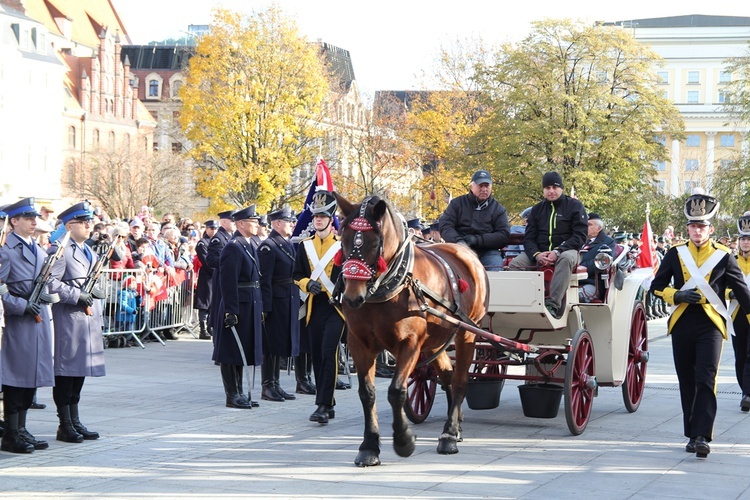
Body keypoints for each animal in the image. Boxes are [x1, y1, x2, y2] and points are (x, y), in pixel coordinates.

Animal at [334, 193, 488, 466]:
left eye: (374, 243)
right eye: (344, 239)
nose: (352, 297)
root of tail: (465, 251)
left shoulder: (410, 343)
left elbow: (397, 390)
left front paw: (403, 440)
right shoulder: (358, 343)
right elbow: (367, 393)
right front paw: (369, 446)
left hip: (468, 332)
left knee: (459, 380)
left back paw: (449, 435)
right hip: (437, 340)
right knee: (447, 376)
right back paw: (455, 425)